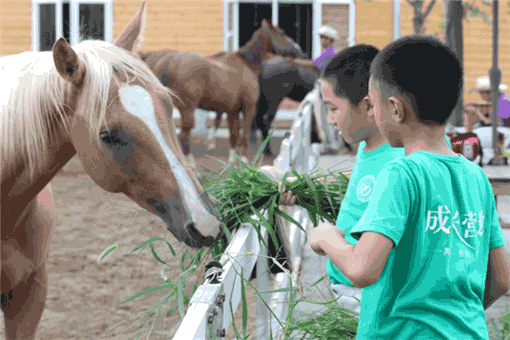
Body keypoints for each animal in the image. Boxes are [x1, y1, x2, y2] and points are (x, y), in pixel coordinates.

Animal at [139, 18, 298, 165]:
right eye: (282, 34)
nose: (298, 50)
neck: (246, 65)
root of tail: (168, 61)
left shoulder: (233, 110)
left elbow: (233, 135)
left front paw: (232, 160)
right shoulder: (248, 108)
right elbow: (244, 134)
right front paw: (244, 160)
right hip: (187, 109)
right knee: (184, 136)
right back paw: (192, 165)